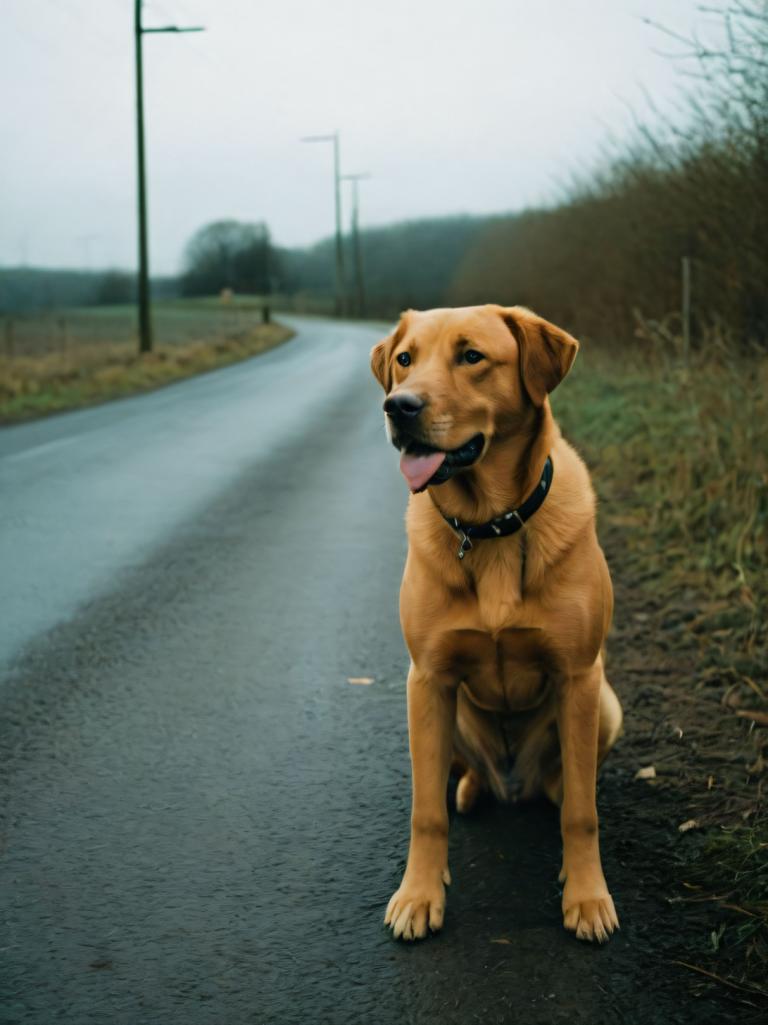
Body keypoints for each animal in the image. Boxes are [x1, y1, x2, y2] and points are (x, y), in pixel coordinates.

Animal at [371, 301, 623, 943]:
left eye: (472, 356)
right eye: (404, 359)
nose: (399, 406)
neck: (489, 527)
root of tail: (516, 782)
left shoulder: (578, 677)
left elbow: (583, 813)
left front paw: (587, 897)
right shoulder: (426, 678)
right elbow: (425, 812)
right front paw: (418, 896)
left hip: (606, 705)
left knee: (568, 786)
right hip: (442, 713)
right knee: (454, 778)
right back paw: (469, 788)